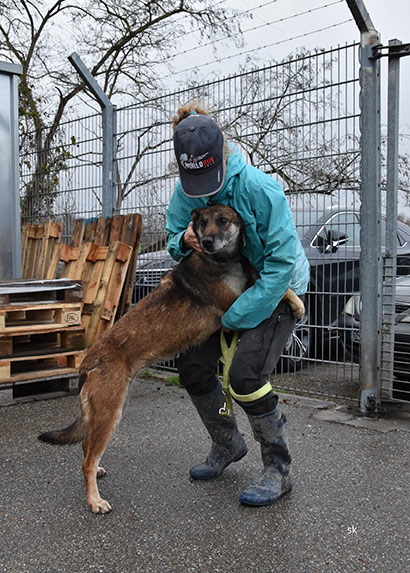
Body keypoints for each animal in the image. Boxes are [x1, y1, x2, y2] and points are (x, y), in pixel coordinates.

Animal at [38, 204, 305, 514]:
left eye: (222, 220)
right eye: (202, 223)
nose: (206, 242)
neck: (220, 261)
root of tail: (87, 362)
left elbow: (264, 281)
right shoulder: (235, 304)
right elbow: (270, 291)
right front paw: (298, 303)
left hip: (110, 410)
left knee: (86, 448)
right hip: (109, 413)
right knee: (86, 460)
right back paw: (95, 501)